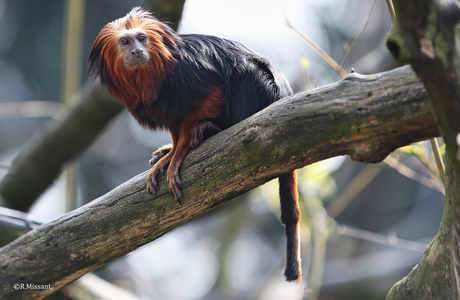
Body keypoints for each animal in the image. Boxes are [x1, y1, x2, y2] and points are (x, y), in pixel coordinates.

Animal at [89, 7, 302, 284]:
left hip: (263, 91)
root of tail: (284, 95)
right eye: (125, 42)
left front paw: (179, 152)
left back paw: (211, 130)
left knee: (245, 72)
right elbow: (175, 123)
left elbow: (208, 96)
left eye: (142, 39)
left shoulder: (188, 74)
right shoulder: (164, 104)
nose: (136, 51)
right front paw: (169, 152)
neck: (151, 73)